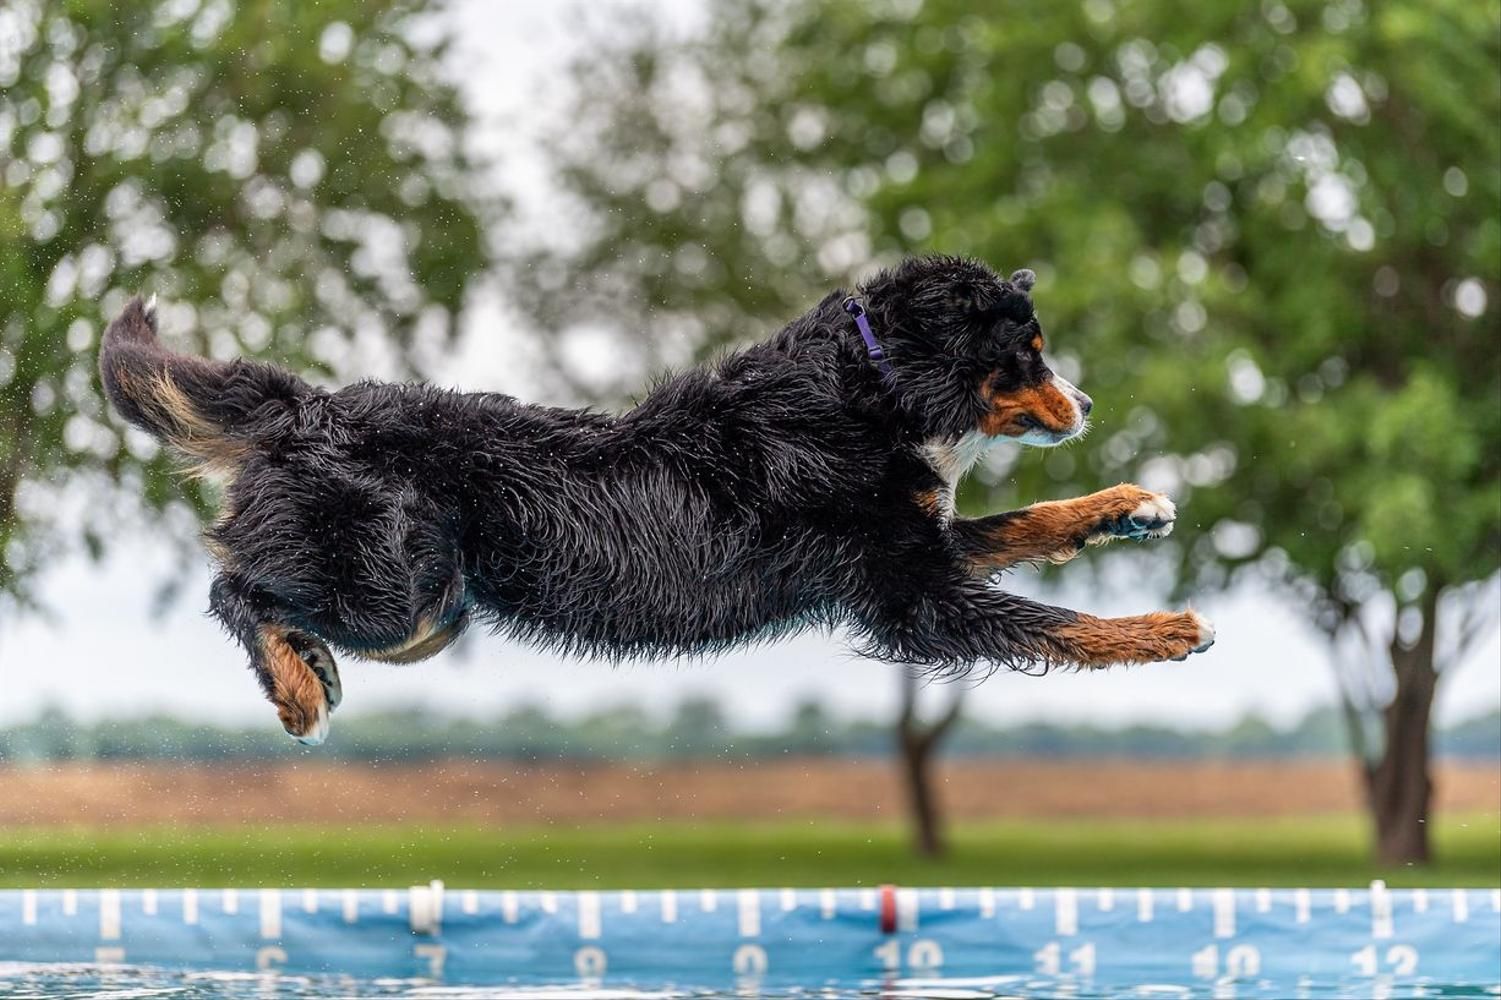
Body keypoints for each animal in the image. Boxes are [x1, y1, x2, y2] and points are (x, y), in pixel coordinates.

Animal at [99, 255, 1212, 738]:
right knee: (234, 587)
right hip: (396, 591)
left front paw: (1131, 504)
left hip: (429, 610)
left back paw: (308, 673)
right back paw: (297, 690)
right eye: (1028, 351)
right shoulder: (909, 595)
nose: (1085, 403)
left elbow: (1033, 525)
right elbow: (1057, 623)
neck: (874, 386)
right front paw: (1167, 630)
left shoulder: (919, 546)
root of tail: (308, 406)